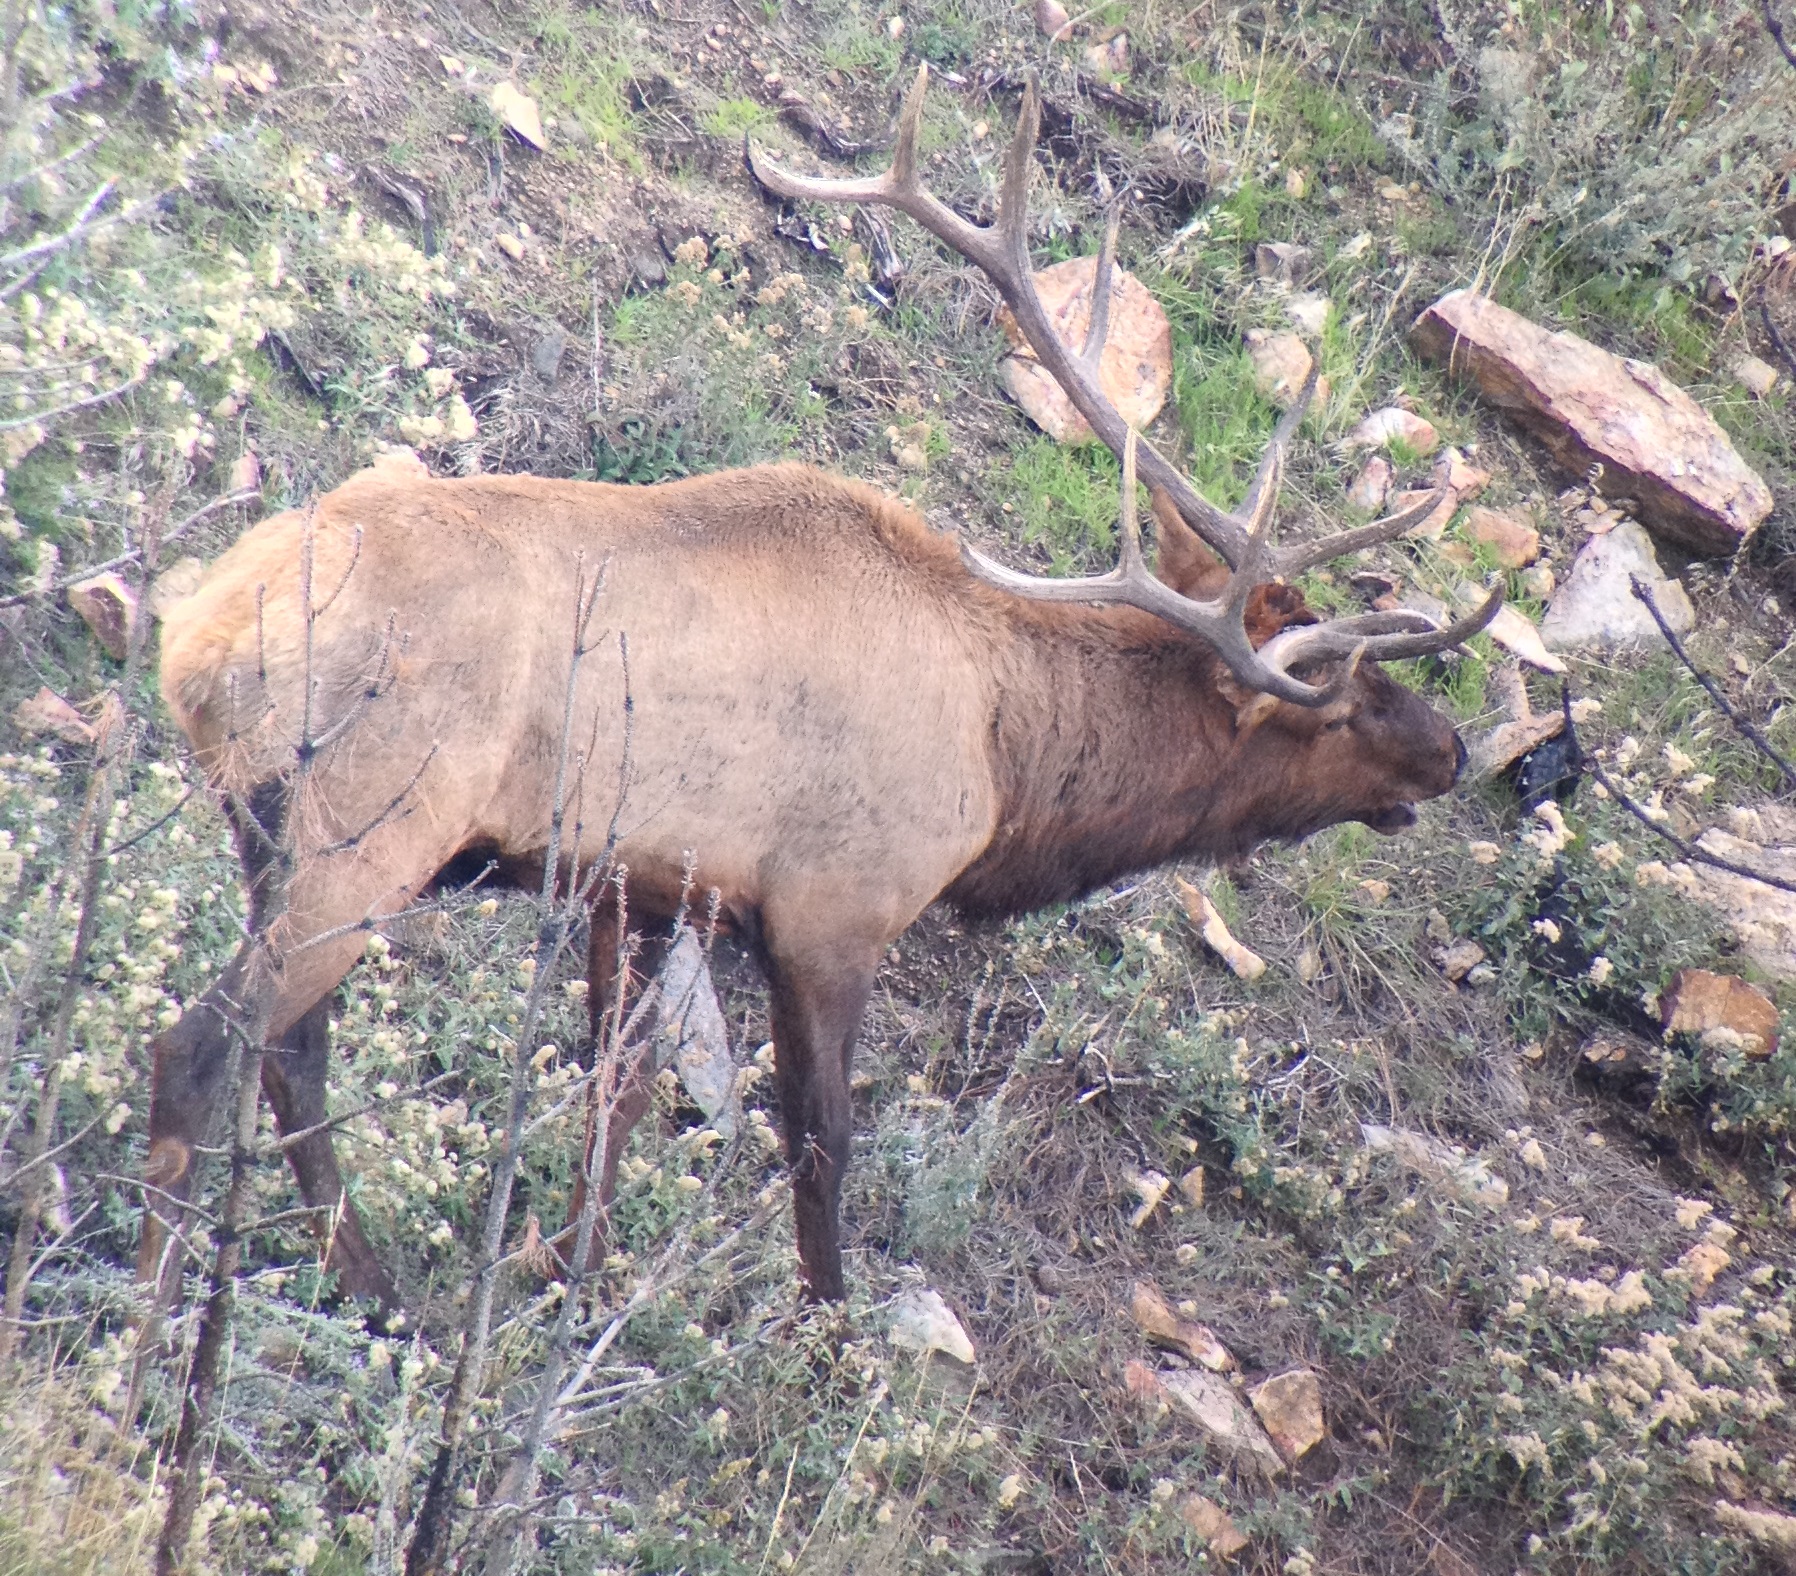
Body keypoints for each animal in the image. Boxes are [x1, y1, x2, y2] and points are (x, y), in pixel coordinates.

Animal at [137, 67, 1499, 1315]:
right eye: (1340, 699)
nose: (1451, 748)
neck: (1007, 761)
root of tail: (195, 644)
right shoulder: (833, 905)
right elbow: (819, 1139)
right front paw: (828, 1330)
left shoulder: (643, 884)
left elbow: (615, 1090)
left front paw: (568, 1282)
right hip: (359, 833)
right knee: (204, 1047)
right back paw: (165, 1339)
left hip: (286, 843)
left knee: (289, 1047)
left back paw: (367, 1285)